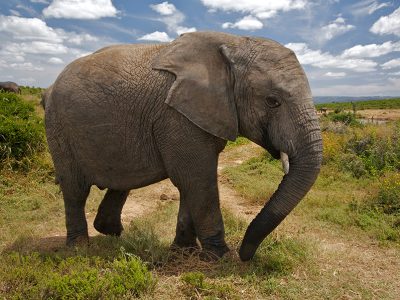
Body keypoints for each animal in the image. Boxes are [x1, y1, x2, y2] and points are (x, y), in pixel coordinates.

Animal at [45, 31, 324, 260]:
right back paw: (79, 248)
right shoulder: (177, 116)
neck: (234, 43)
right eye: (272, 101)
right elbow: (197, 179)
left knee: (121, 181)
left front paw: (184, 251)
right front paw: (220, 257)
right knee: (75, 190)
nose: (245, 256)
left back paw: (111, 233)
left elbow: (191, 182)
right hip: (59, 128)